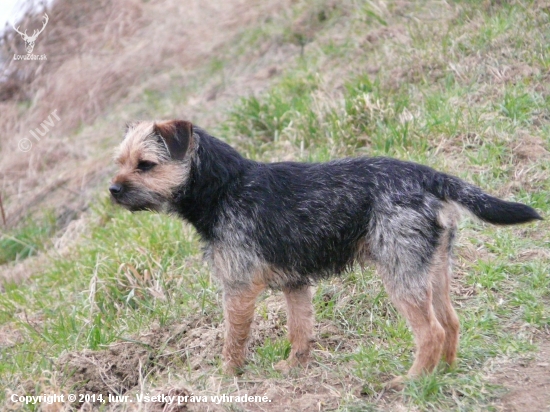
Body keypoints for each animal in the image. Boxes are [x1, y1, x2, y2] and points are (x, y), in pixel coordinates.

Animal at [109, 119, 544, 386]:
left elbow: (233, 338)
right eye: (120, 162)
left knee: (431, 331)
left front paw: (225, 377)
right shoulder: (295, 285)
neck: (224, 188)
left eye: (145, 165)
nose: (112, 190)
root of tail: (429, 175)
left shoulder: (237, 289)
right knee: (451, 322)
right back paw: (446, 373)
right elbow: (300, 329)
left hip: (401, 276)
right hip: (432, 268)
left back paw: (413, 381)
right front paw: (293, 366)